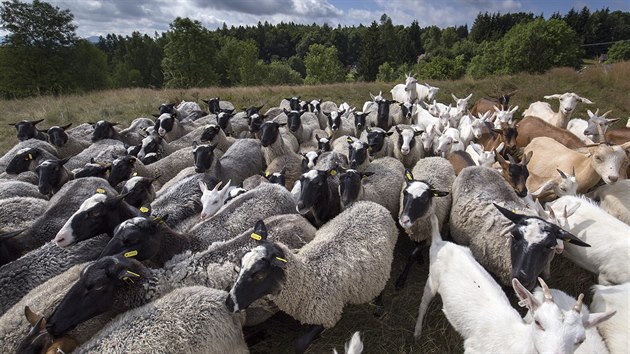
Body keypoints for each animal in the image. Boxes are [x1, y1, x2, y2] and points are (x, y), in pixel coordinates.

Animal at [225, 201, 398, 352]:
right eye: (239, 265)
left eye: (260, 274)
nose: (228, 304)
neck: (307, 278)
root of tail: (373, 205)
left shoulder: (326, 314)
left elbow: (300, 344)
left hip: (385, 263)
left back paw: (379, 306)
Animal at [398, 159, 456, 290]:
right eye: (404, 192)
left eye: (424, 199)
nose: (404, 220)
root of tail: (438, 158)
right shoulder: (413, 233)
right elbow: (416, 247)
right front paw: (420, 258)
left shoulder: (427, 236)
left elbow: (412, 255)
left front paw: (401, 280)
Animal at [412, 213, 616, 354]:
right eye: (538, 322)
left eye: (581, 339)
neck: (515, 341)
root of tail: (441, 243)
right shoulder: (472, 349)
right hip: (432, 280)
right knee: (423, 304)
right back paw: (417, 332)